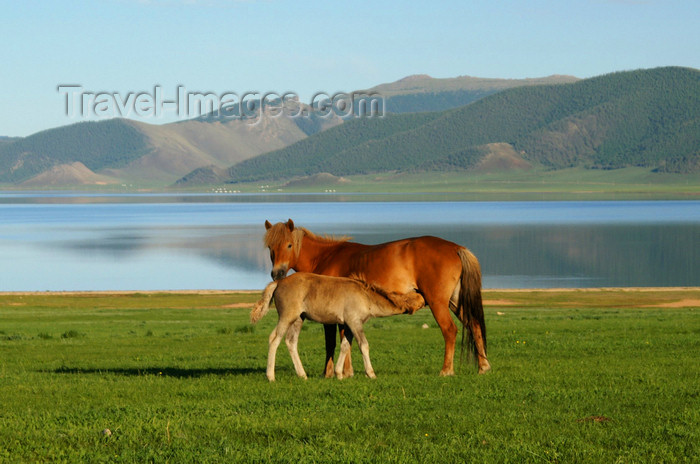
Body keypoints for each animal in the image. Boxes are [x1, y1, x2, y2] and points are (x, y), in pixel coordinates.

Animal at [252, 272, 426, 380]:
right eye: (420, 299)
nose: (427, 301)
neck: (366, 297)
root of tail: (278, 282)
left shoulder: (348, 325)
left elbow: (344, 346)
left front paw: (339, 374)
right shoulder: (355, 322)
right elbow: (364, 345)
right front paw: (371, 373)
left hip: (298, 319)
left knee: (291, 341)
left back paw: (302, 375)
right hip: (287, 317)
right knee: (274, 339)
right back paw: (271, 376)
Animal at [264, 218, 492, 376]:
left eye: (289, 245)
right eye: (270, 248)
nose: (277, 273)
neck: (326, 257)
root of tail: (456, 248)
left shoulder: (332, 315)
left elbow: (333, 342)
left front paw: (332, 373)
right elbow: (346, 340)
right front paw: (346, 371)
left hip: (438, 302)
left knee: (450, 330)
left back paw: (446, 370)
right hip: (455, 301)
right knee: (474, 325)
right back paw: (483, 366)